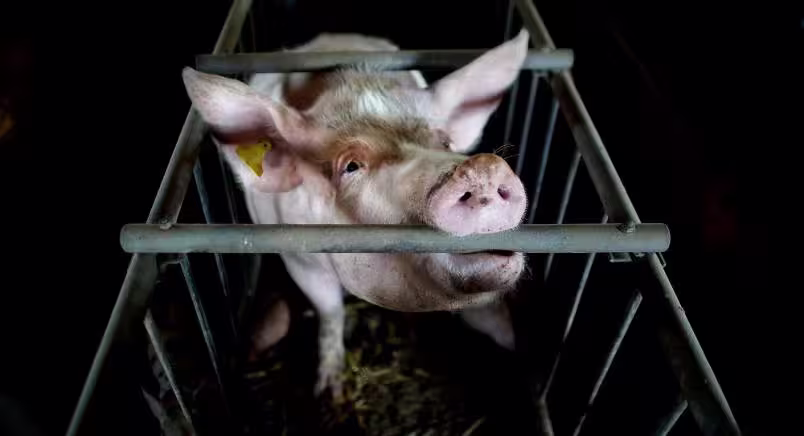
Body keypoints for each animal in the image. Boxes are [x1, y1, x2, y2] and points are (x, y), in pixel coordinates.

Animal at [182, 29, 530, 396]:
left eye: (446, 143)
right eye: (351, 166)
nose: (483, 167)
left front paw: (514, 343)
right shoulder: (298, 258)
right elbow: (330, 310)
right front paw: (329, 392)